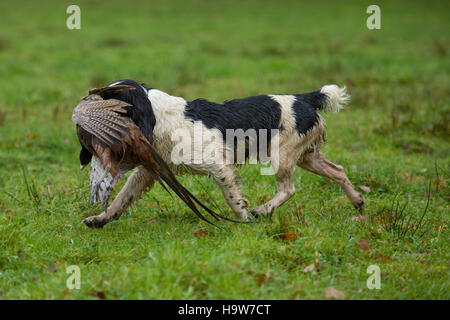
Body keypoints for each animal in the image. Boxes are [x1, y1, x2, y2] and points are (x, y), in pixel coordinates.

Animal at [77, 79, 364, 228]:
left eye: (109, 95)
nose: (85, 100)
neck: (161, 118)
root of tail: (305, 98)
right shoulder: (149, 171)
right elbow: (122, 198)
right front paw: (100, 219)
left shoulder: (219, 166)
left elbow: (232, 198)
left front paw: (245, 220)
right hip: (307, 156)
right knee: (339, 172)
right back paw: (358, 203)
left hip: (281, 156)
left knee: (288, 189)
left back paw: (262, 211)